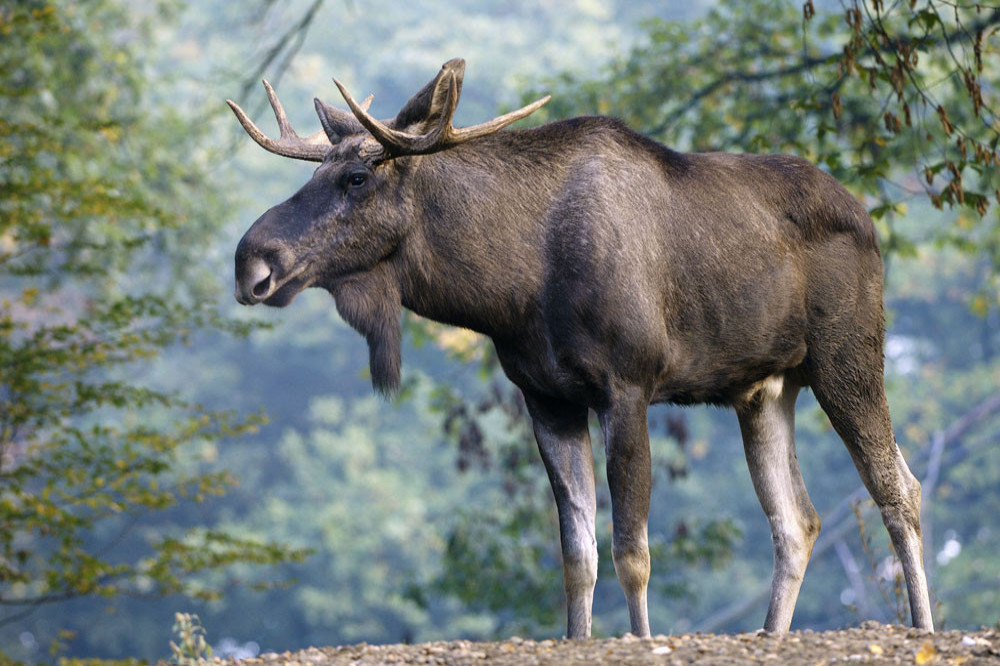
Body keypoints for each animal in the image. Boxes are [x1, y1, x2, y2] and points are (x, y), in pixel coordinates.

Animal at [227, 59, 928, 636]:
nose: (250, 261)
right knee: (797, 522)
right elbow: (577, 556)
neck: (510, 288)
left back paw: (923, 623)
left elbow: (632, 552)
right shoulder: (547, 398)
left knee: (899, 488)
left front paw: (641, 639)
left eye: (356, 176)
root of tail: (867, 219)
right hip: (762, 390)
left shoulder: (629, 386)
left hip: (849, 357)